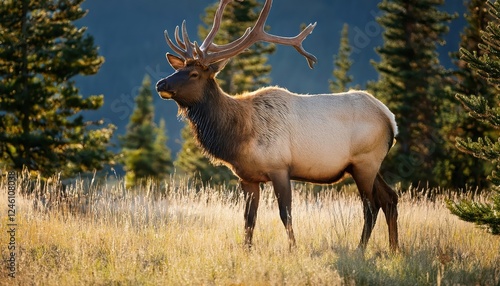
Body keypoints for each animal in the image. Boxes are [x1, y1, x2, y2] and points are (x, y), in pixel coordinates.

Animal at [156, 0, 398, 250]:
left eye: (193, 73)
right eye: (177, 69)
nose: (160, 84)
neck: (238, 136)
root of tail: (390, 119)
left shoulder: (280, 167)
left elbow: (285, 214)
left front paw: (293, 249)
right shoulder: (247, 177)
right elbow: (248, 219)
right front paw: (247, 250)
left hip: (365, 161)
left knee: (371, 206)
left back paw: (361, 249)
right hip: (367, 165)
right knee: (390, 198)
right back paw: (394, 248)